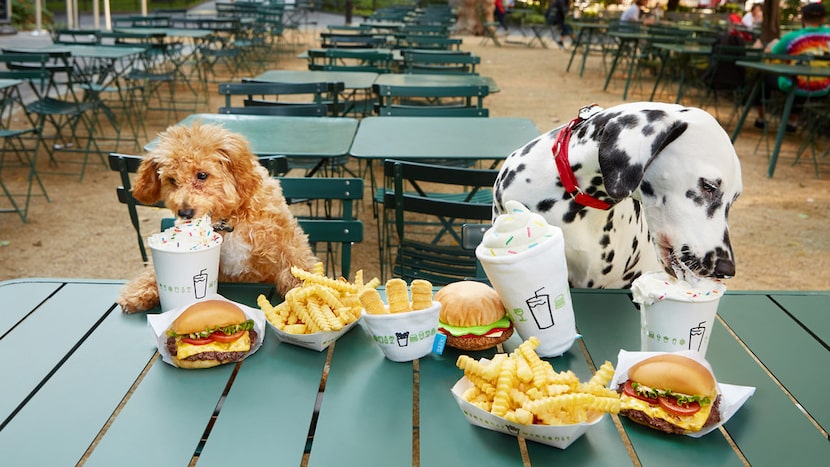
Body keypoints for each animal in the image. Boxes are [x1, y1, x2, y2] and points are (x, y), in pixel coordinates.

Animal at [114, 122, 316, 312]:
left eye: (202, 175)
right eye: (171, 180)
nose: (185, 212)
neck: (229, 218)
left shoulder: (284, 238)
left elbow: (296, 262)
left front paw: (306, 290)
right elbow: (151, 271)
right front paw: (137, 293)